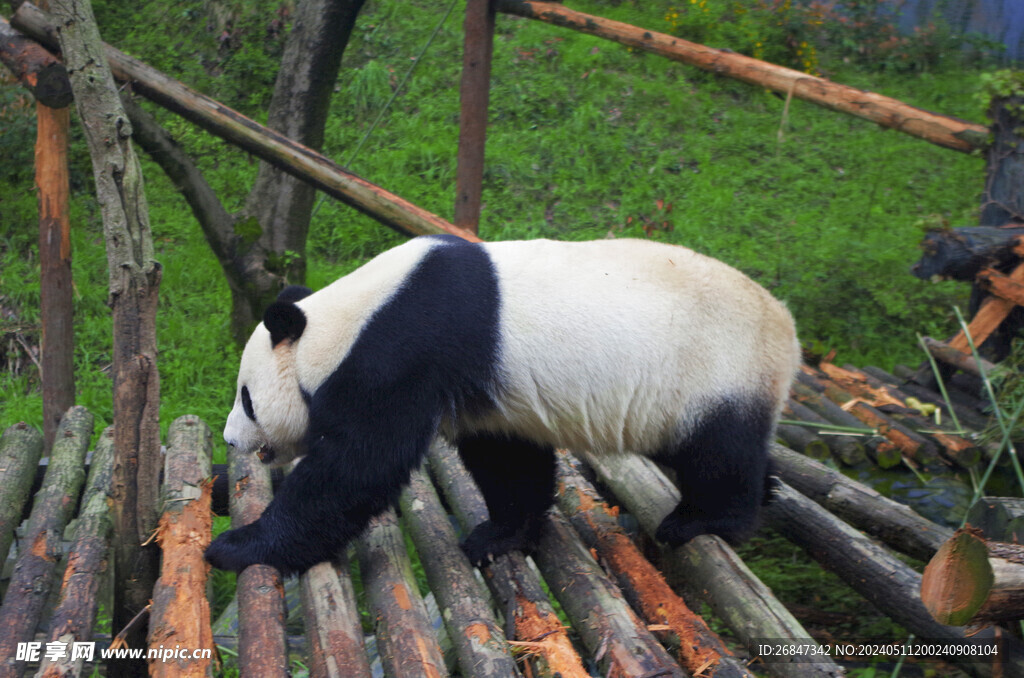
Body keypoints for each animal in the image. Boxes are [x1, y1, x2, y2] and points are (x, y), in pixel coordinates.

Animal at [205, 236, 798, 577]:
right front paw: (502, 535)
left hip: (714, 371)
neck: (346, 320)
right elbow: (507, 461)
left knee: (717, 453)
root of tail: (788, 328)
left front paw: (238, 547)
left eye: (247, 399)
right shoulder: (491, 395)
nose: (231, 439)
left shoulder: (399, 355)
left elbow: (354, 469)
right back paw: (768, 487)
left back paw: (707, 518)